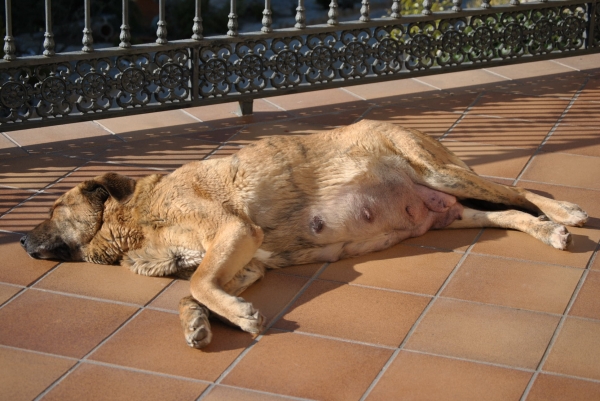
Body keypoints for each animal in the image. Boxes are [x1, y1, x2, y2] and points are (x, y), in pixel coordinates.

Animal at [21, 119, 588, 346]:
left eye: (53, 208)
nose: (22, 242)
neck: (134, 222)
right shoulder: (244, 262)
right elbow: (195, 291)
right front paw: (201, 324)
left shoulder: (234, 230)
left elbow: (197, 283)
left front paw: (239, 317)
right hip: (454, 209)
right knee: (507, 212)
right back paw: (547, 231)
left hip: (439, 171)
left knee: (519, 188)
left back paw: (566, 212)